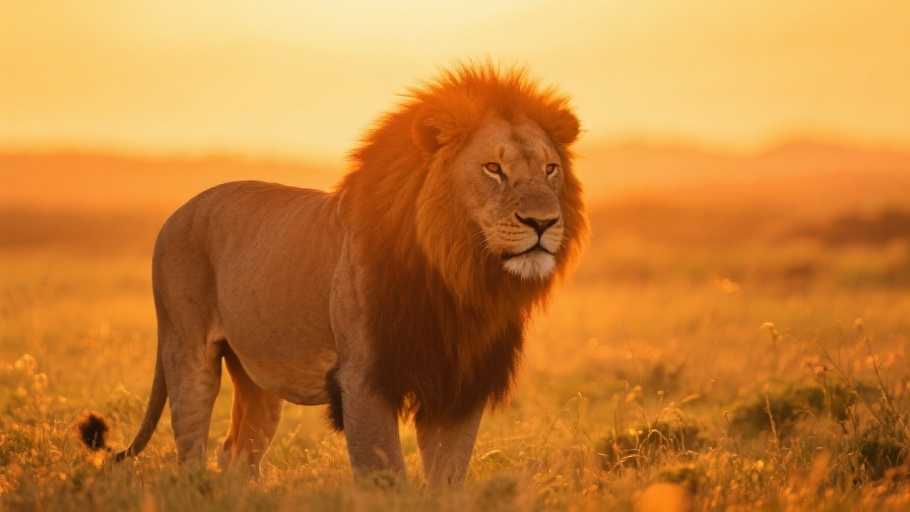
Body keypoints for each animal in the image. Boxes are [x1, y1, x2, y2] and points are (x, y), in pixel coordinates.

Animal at [77, 62, 586, 488]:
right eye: (493, 168)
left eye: (550, 168)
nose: (543, 223)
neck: (458, 278)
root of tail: (180, 210)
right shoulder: (364, 379)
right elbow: (387, 480)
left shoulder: (459, 382)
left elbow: (447, 481)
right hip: (187, 351)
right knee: (190, 450)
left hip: (258, 375)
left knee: (237, 452)